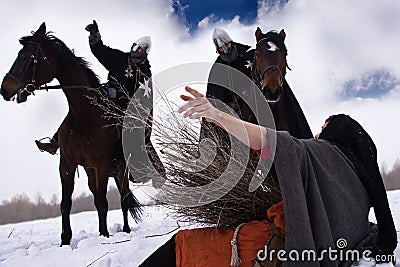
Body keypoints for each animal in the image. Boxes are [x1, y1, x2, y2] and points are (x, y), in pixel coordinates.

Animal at [0, 23, 141, 247]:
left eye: (27, 56)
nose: (4, 89)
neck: (83, 115)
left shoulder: (102, 164)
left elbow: (103, 202)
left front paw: (104, 235)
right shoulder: (67, 164)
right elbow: (66, 204)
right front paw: (65, 240)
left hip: (120, 170)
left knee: (124, 198)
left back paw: (126, 230)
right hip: (90, 171)